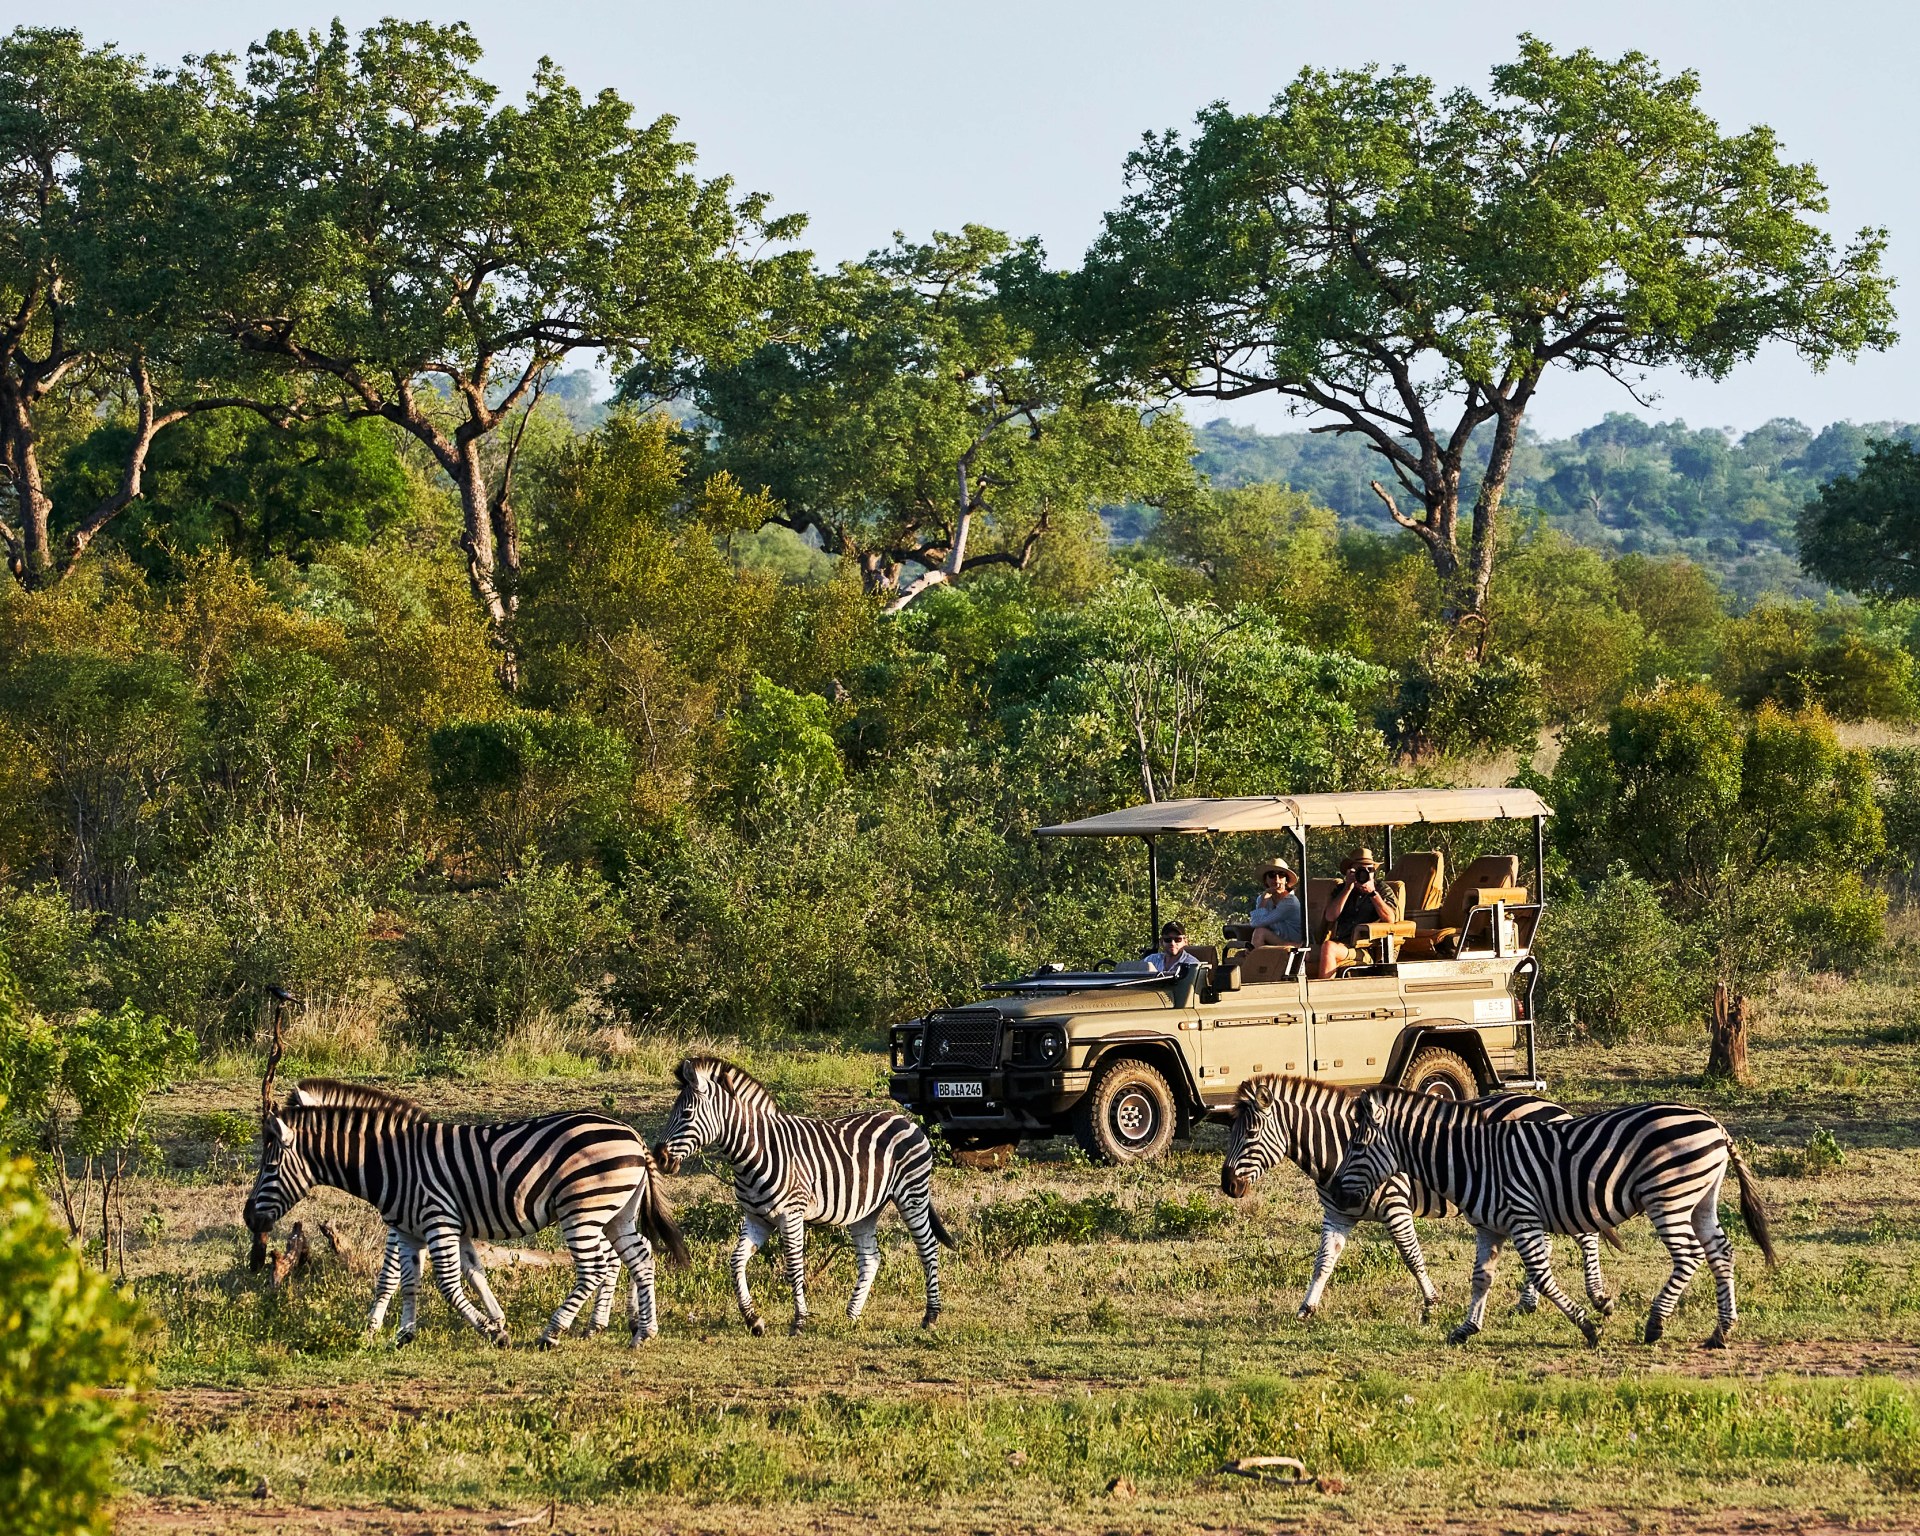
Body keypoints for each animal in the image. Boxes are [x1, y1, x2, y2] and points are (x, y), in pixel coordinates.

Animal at [243, 1078, 687, 1347]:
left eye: (269, 1166)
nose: (249, 1219)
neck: (391, 1163)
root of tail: (631, 1135)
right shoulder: (414, 1229)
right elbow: (415, 1281)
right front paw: (404, 1333)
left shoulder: (436, 1218)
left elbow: (445, 1283)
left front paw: (491, 1331)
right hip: (616, 1211)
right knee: (640, 1257)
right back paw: (643, 1331)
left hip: (583, 1208)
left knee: (596, 1267)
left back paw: (553, 1332)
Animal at [653, 1055, 955, 1336]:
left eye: (687, 1114)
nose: (659, 1157)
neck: (755, 1152)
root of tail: (903, 1118)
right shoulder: (756, 1218)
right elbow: (736, 1261)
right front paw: (754, 1320)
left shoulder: (791, 1214)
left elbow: (794, 1267)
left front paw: (798, 1321)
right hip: (866, 1210)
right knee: (871, 1258)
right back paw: (851, 1316)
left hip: (912, 1194)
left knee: (928, 1247)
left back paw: (930, 1316)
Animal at [1221, 1075, 1616, 1322]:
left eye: (1251, 1133)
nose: (1227, 1185)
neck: (1339, 1147)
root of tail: (1553, 1106)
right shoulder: (1338, 1213)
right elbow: (1323, 1262)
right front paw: (1306, 1308)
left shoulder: (1395, 1205)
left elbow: (1411, 1256)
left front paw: (1431, 1303)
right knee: (1547, 1243)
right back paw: (1527, 1303)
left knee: (1586, 1235)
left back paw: (1598, 1297)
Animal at [1331, 1086, 1778, 1348]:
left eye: (1357, 1145)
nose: (1334, 1192)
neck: (1473, 1159)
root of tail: (1715, 1124)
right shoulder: (1489, 1226)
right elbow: (1481, 1278)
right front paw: (1465, 1329)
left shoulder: (1523, 1217)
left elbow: (1543, 1278)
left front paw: (1589, 1328)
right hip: (1701, 1197)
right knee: (1721, 1252)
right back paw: (1721, 1332)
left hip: (1668, 1196)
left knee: (1689, 1257)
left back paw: (1655, 1325)